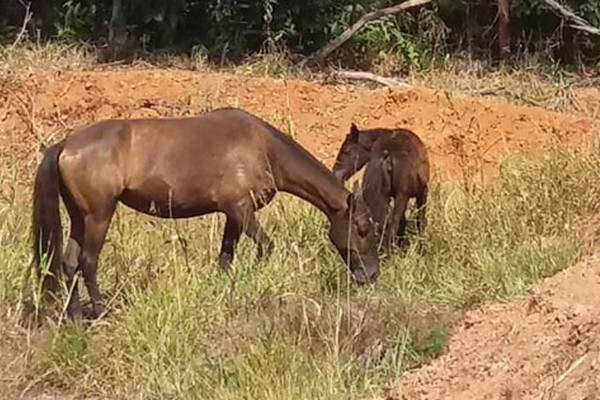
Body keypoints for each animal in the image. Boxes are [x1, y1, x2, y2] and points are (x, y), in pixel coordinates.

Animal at [29, 108, 380, 320]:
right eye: (362, 228)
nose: (372, 276)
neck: (264, 148)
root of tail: (66, 144)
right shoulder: (242, 210)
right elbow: (265, 248)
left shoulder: (232, 215)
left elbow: (225, 258)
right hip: (99, 216)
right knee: (88, 262)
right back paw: (101, 312)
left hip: (79, 217)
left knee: (69, 262)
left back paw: (75, 314)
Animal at [330, 123, 428, 252]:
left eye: (345, 150)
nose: (335, 173)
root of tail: (387, 156)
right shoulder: (422, 193)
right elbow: (420, 220)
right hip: (401, 196)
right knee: (394, 223)